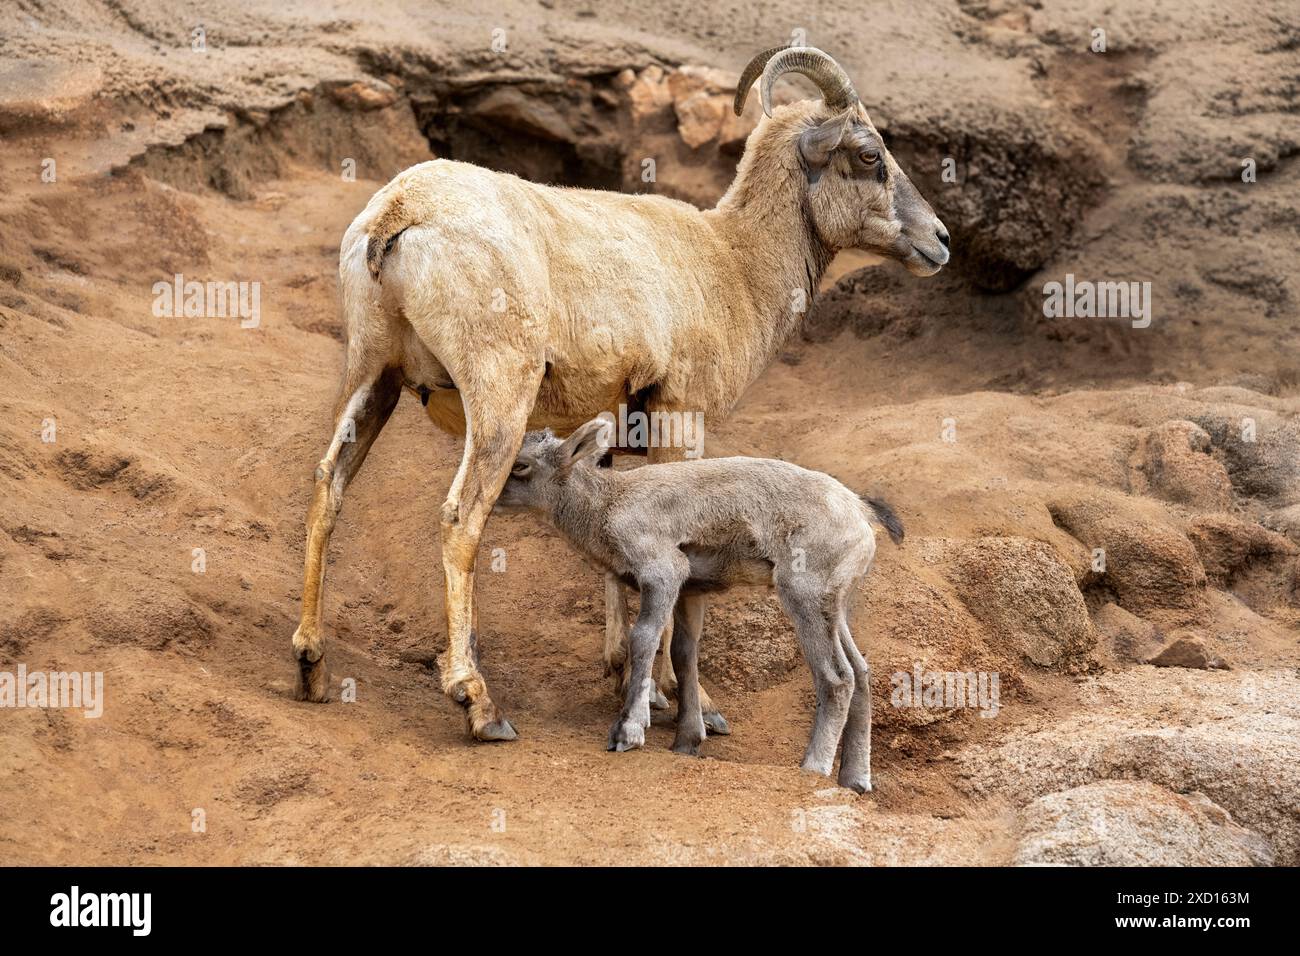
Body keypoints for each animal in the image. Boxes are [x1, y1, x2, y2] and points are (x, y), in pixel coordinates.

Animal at [290, 46, 947, 744]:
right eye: (869, 155)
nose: (940, 241)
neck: (734, 265)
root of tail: (404, 209)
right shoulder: (680, 420)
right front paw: (684, 702)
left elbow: (610, 557)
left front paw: (627, 682)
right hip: (497, 400)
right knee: (460, 520)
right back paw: (480, 705)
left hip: (372, 378)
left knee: (330, 485)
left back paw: (311, 666)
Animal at [495, 417, 904, 792]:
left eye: (521, 465)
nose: (493, 498)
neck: (607, 508)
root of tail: (861, 515)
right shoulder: (691, 591)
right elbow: (683, 654)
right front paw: (687, 742)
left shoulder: (663, 572)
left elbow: (644, 638)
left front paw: (628, 732)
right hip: (834, 605)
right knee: (861, 671)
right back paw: (855, 780)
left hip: (803, 593)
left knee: (837, 678)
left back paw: (812, 769)